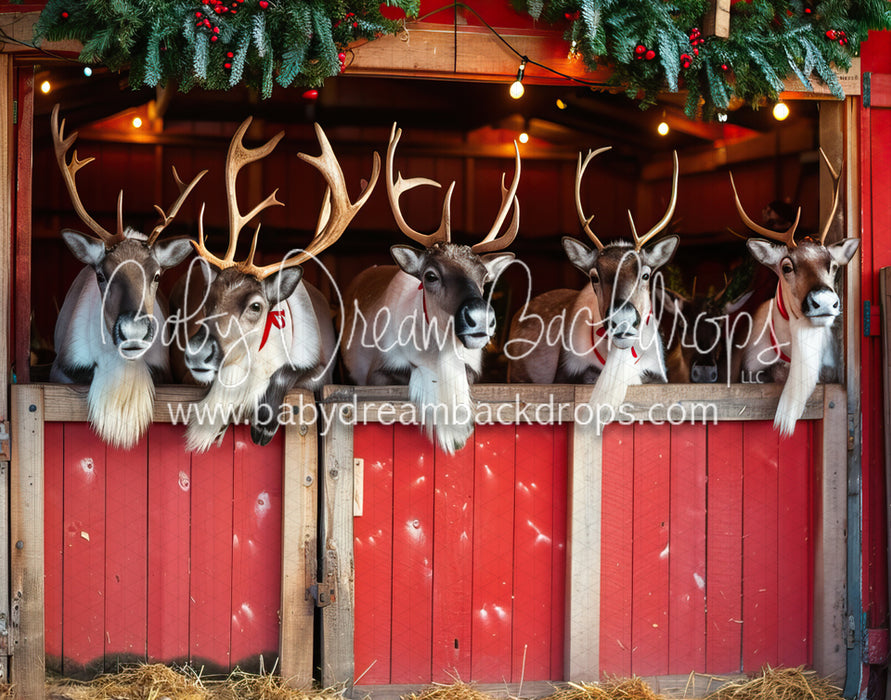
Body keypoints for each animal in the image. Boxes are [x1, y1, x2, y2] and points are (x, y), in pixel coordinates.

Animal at [177, 118, 379, 452]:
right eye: (207, 300)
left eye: (256, 306)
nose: (196, 352)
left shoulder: (319, 371)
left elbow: (287, 372)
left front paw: (264, 425)